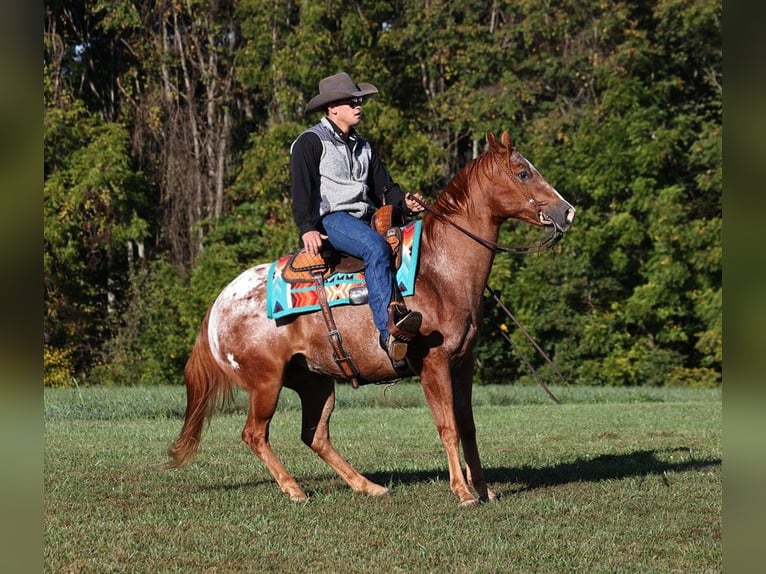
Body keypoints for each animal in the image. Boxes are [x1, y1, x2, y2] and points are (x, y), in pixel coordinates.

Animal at [166, 132, 576, 508]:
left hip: (314, 382)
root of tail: (218, 306)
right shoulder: (434, 363)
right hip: (265, 383)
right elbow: (447, 427)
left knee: (315, 434)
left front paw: (485, 489)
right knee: (255, 434)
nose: (568, 212)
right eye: (523, 173)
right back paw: (295, 490)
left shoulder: (463, 364)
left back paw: (368, 486)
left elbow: (469, 426)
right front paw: (463, 493)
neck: (439, 272)